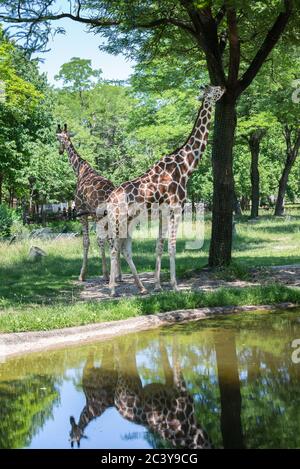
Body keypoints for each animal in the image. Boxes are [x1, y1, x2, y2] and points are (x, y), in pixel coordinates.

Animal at [55, 124, 121, 282]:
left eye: (57, 138)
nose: (60, 151)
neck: (79, 170)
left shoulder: (81, 214)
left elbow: (87, 242)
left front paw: (83, 275)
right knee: (116, 238)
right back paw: (119, 275)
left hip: (100, 216)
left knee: (107, 240)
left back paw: (111, 275)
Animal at [69, 336, 212, 446]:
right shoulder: (179, 389)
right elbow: (175, 354)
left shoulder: (171, 385)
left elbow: (166, 356)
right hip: (124, 382)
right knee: (119, 354)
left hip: (120, 380)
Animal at [106, 86, 226, 294]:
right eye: (214, 89)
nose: (225, 88)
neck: (186, 166)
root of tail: (110, 199)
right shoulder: (176, 208)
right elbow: (172, 246)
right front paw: (175, 285)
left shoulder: (163, 213)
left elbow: (159, 246)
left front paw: (157, 285)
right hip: (118, 219)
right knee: (114, 248)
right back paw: (113, 289)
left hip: (129, 221)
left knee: (124, 248)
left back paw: (142, 288)